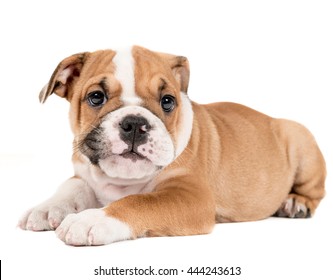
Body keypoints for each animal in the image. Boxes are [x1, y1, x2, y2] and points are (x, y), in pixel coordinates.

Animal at [18, 45, 324, 245]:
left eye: (167, 101)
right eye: (96, 97)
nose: (134, 123)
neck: (121, 181)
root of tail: (272, 119)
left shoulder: (190, 196)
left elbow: (139, 201)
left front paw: (92, 219)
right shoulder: (83, 173)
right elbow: (72, 186)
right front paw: (47, 208)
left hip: (300, 140)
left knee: (314, 191)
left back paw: (295, 202)